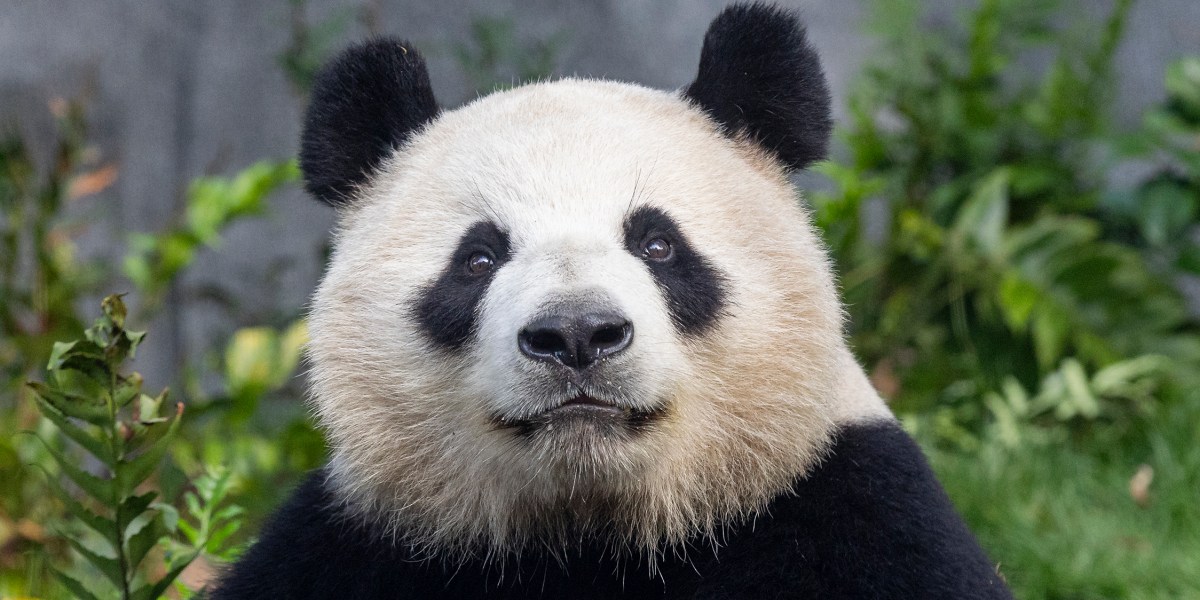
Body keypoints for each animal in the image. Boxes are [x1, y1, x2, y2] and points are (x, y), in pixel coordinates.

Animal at [213, 4, 1012, 599]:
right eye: (478, 260)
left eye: (657, 244)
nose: (576, 335)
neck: (593, 534)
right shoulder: (363, 538)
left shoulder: (851, 506)